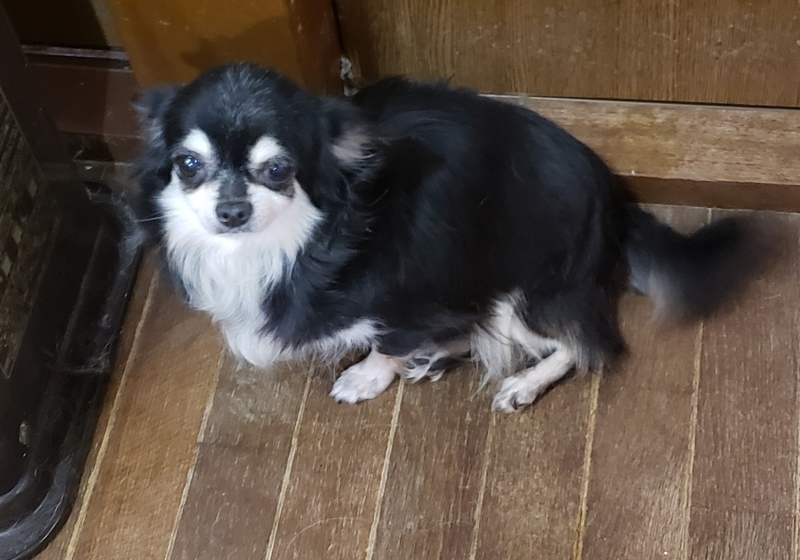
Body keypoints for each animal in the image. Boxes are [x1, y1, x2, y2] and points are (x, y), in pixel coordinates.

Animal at [135, 62, 759, 412]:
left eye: (277, 169)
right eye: (188, 165)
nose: (232, 210)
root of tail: (614, 200)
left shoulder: (414, 294)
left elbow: (389, 341)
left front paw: (368, 375)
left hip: (518, 288)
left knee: (586, 345)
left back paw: (522, 384)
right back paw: (439, 356)